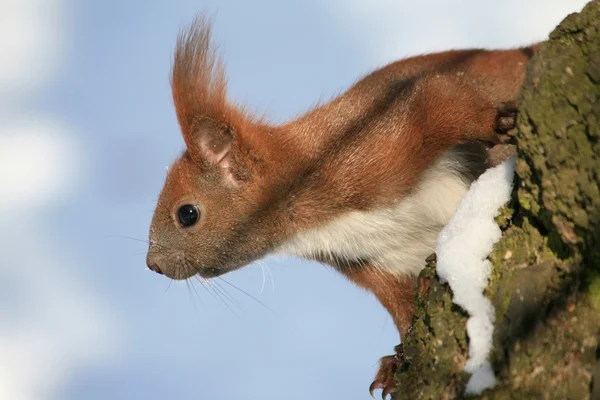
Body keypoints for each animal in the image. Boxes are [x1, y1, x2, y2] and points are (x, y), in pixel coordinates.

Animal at [146, 14, 540, 396]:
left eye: (187, 214)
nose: (153, 265)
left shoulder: (380, 139)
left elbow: (440, 99)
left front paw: (495, 122)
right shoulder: (375, 261)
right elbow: (401, 305)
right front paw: (397, 359)